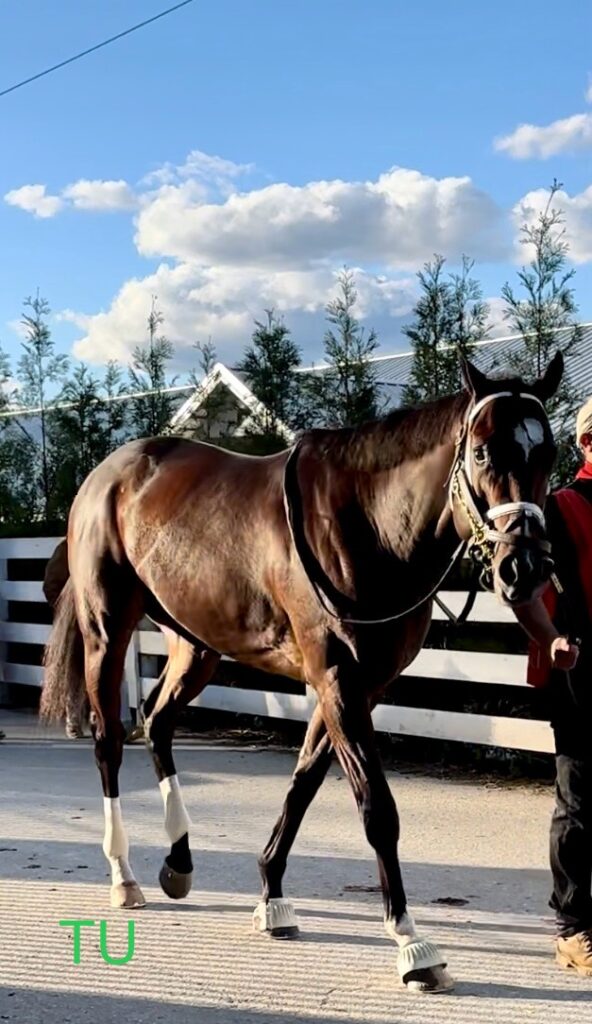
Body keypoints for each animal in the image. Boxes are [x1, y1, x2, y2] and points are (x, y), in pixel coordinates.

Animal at [40, 358, 557, 991]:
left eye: (548, 452)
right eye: (482, 452)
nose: (523, 567)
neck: (369, 522)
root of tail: (107, 474)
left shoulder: (359, 686)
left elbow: (304, 784)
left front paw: (272, 897)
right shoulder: (337, 679)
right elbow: (377, 809)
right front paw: (412, 943)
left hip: (194, 643)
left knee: (157, 723)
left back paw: (179, 862)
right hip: (106, 631)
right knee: (109, 740)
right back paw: (124, 875)